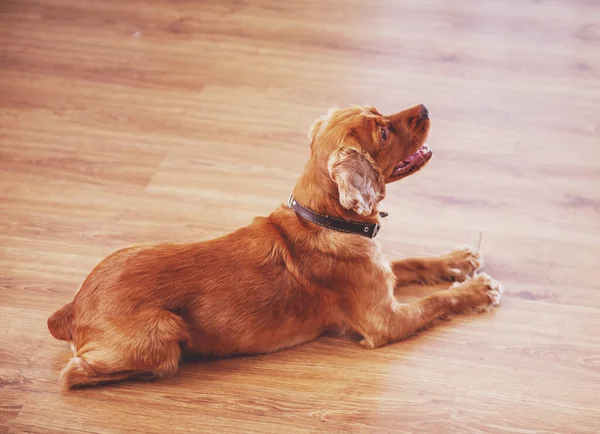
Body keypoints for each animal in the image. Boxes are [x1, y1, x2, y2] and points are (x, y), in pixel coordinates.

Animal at [49, 104, 504, 390]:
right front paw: (477, 290)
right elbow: (437, 302)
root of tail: (72, 309)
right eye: (384, 131)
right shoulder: (383, 322)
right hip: (164, 331)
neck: (322, 218)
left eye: (381, 113)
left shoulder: (384, 275)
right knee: (75, 375)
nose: (425, 108)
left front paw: (457, 260)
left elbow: (413, 261)